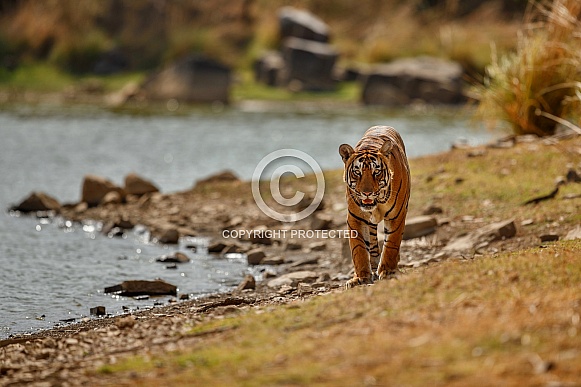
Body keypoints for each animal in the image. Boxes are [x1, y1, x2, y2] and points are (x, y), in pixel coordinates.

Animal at [338, 126, 410, 288]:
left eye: (376, 172)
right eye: (357, 172)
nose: (367, 193)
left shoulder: (397, 215)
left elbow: (391, 244)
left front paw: (387, 271)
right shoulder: (355, 218)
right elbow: (358, 249)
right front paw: (360, 277)